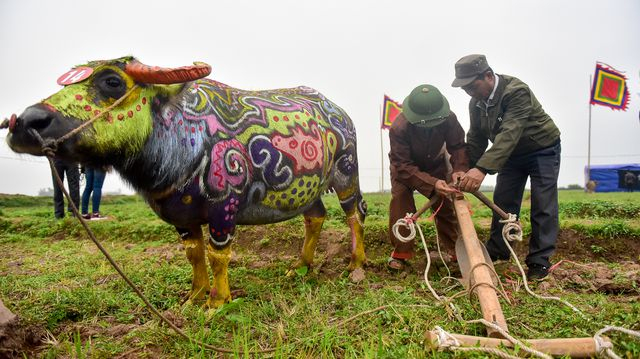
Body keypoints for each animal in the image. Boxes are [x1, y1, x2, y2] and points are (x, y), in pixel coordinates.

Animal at [5, 57, 368, 310]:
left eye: (112, 81)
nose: (24, 123)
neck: (183, 140)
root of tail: (340, 112)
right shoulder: (182, 216)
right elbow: (194, 255)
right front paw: (195, 296)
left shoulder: (224, 208)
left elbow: (218, 255)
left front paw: (217, 302)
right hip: (309, 190)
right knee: (316, 217)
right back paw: (301, 266)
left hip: (346, 173)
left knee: (355, 213)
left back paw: (356, 264)